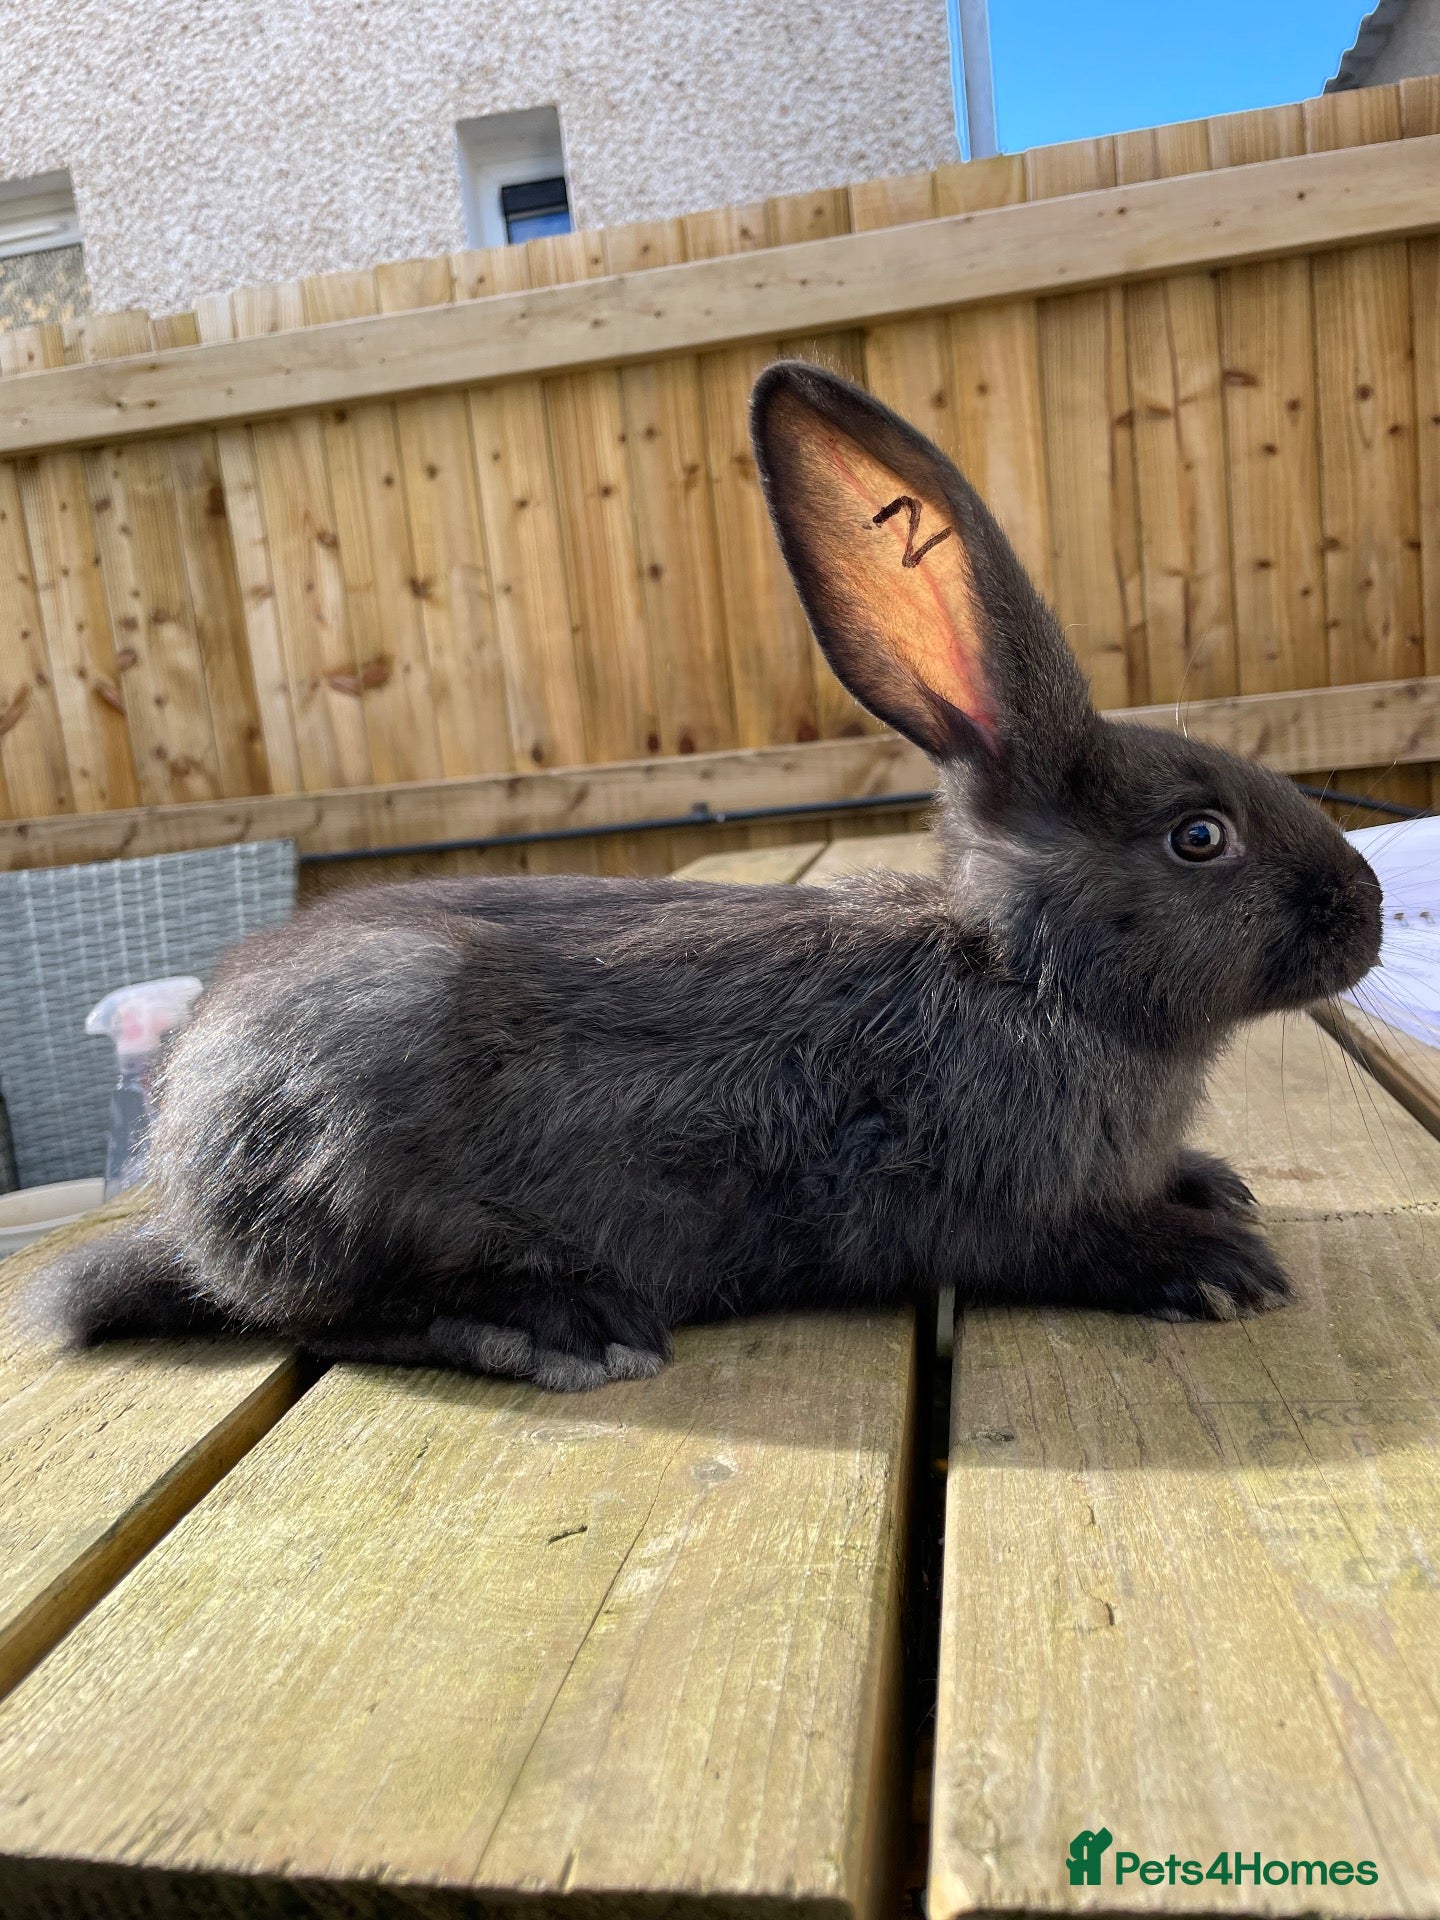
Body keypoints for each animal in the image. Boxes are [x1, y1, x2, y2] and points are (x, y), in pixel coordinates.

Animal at [34, 361, 1383, 1391]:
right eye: (1199, 837)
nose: (1365, 915)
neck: (1023, 973)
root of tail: (189, 1186)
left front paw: (1215, 1187)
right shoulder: (996, 1201)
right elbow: (1061, 1244)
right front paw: (1213, 1266)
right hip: (357, 1137)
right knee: (327, 1315)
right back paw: (564, 1327)